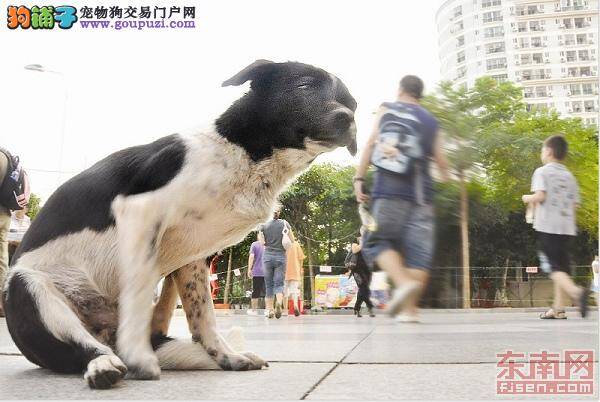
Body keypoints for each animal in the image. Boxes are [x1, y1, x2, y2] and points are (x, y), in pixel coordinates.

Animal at [2, 59, 356, 390]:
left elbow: (204, 318)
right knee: (87, 349)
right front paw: (142, 357)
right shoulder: (139, 211)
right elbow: (145, 294)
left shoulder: (193, 258)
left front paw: (228, 357)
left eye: (351, 103)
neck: (243, 153)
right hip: (25, 285)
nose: (349, 119)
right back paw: (106, 364)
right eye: (304, 86)